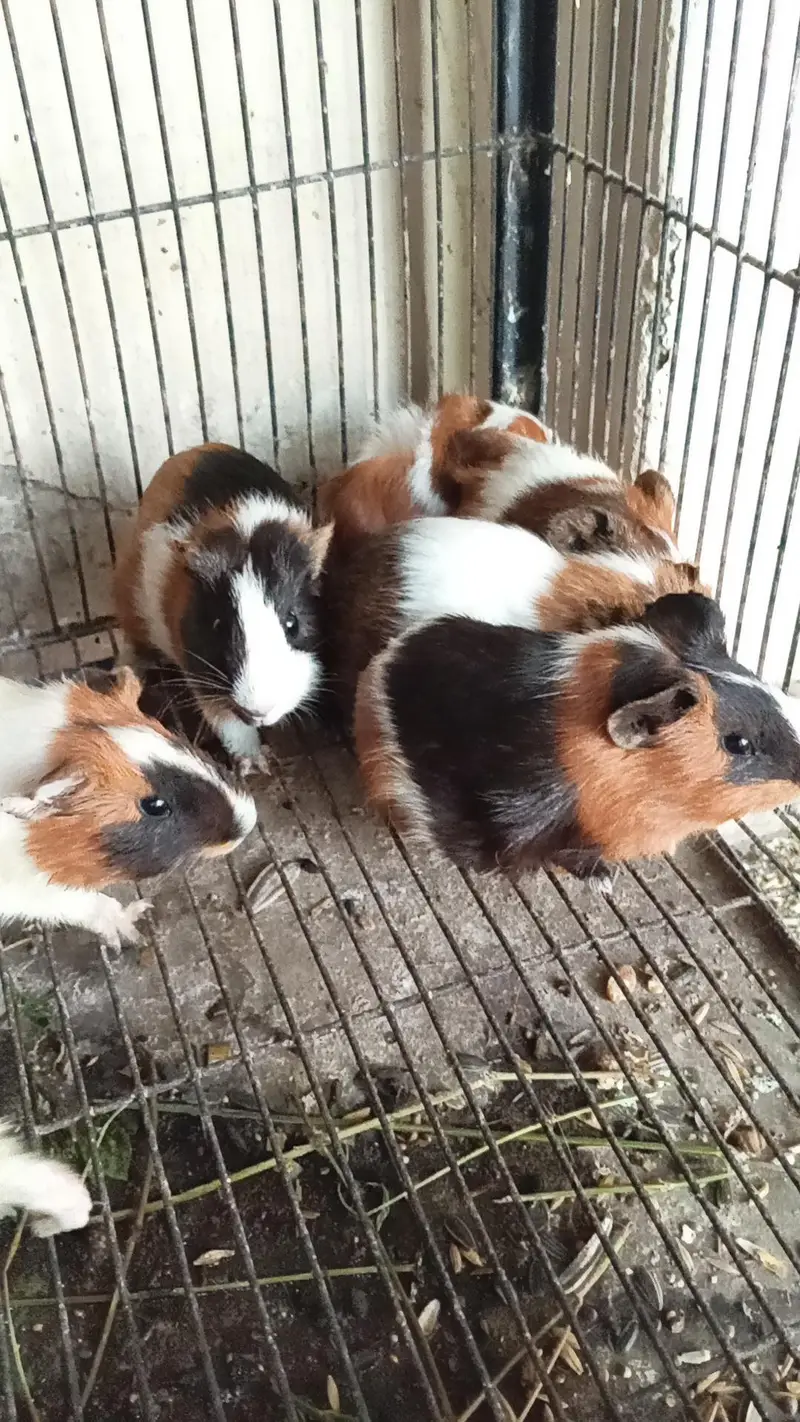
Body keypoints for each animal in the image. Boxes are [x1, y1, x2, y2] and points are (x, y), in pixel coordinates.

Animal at [114, 444, 333, 769]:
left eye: (292, 623)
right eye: (218, 625)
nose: (258, 711)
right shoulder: (202, 677)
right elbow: (230, 726)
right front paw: (256, 764)